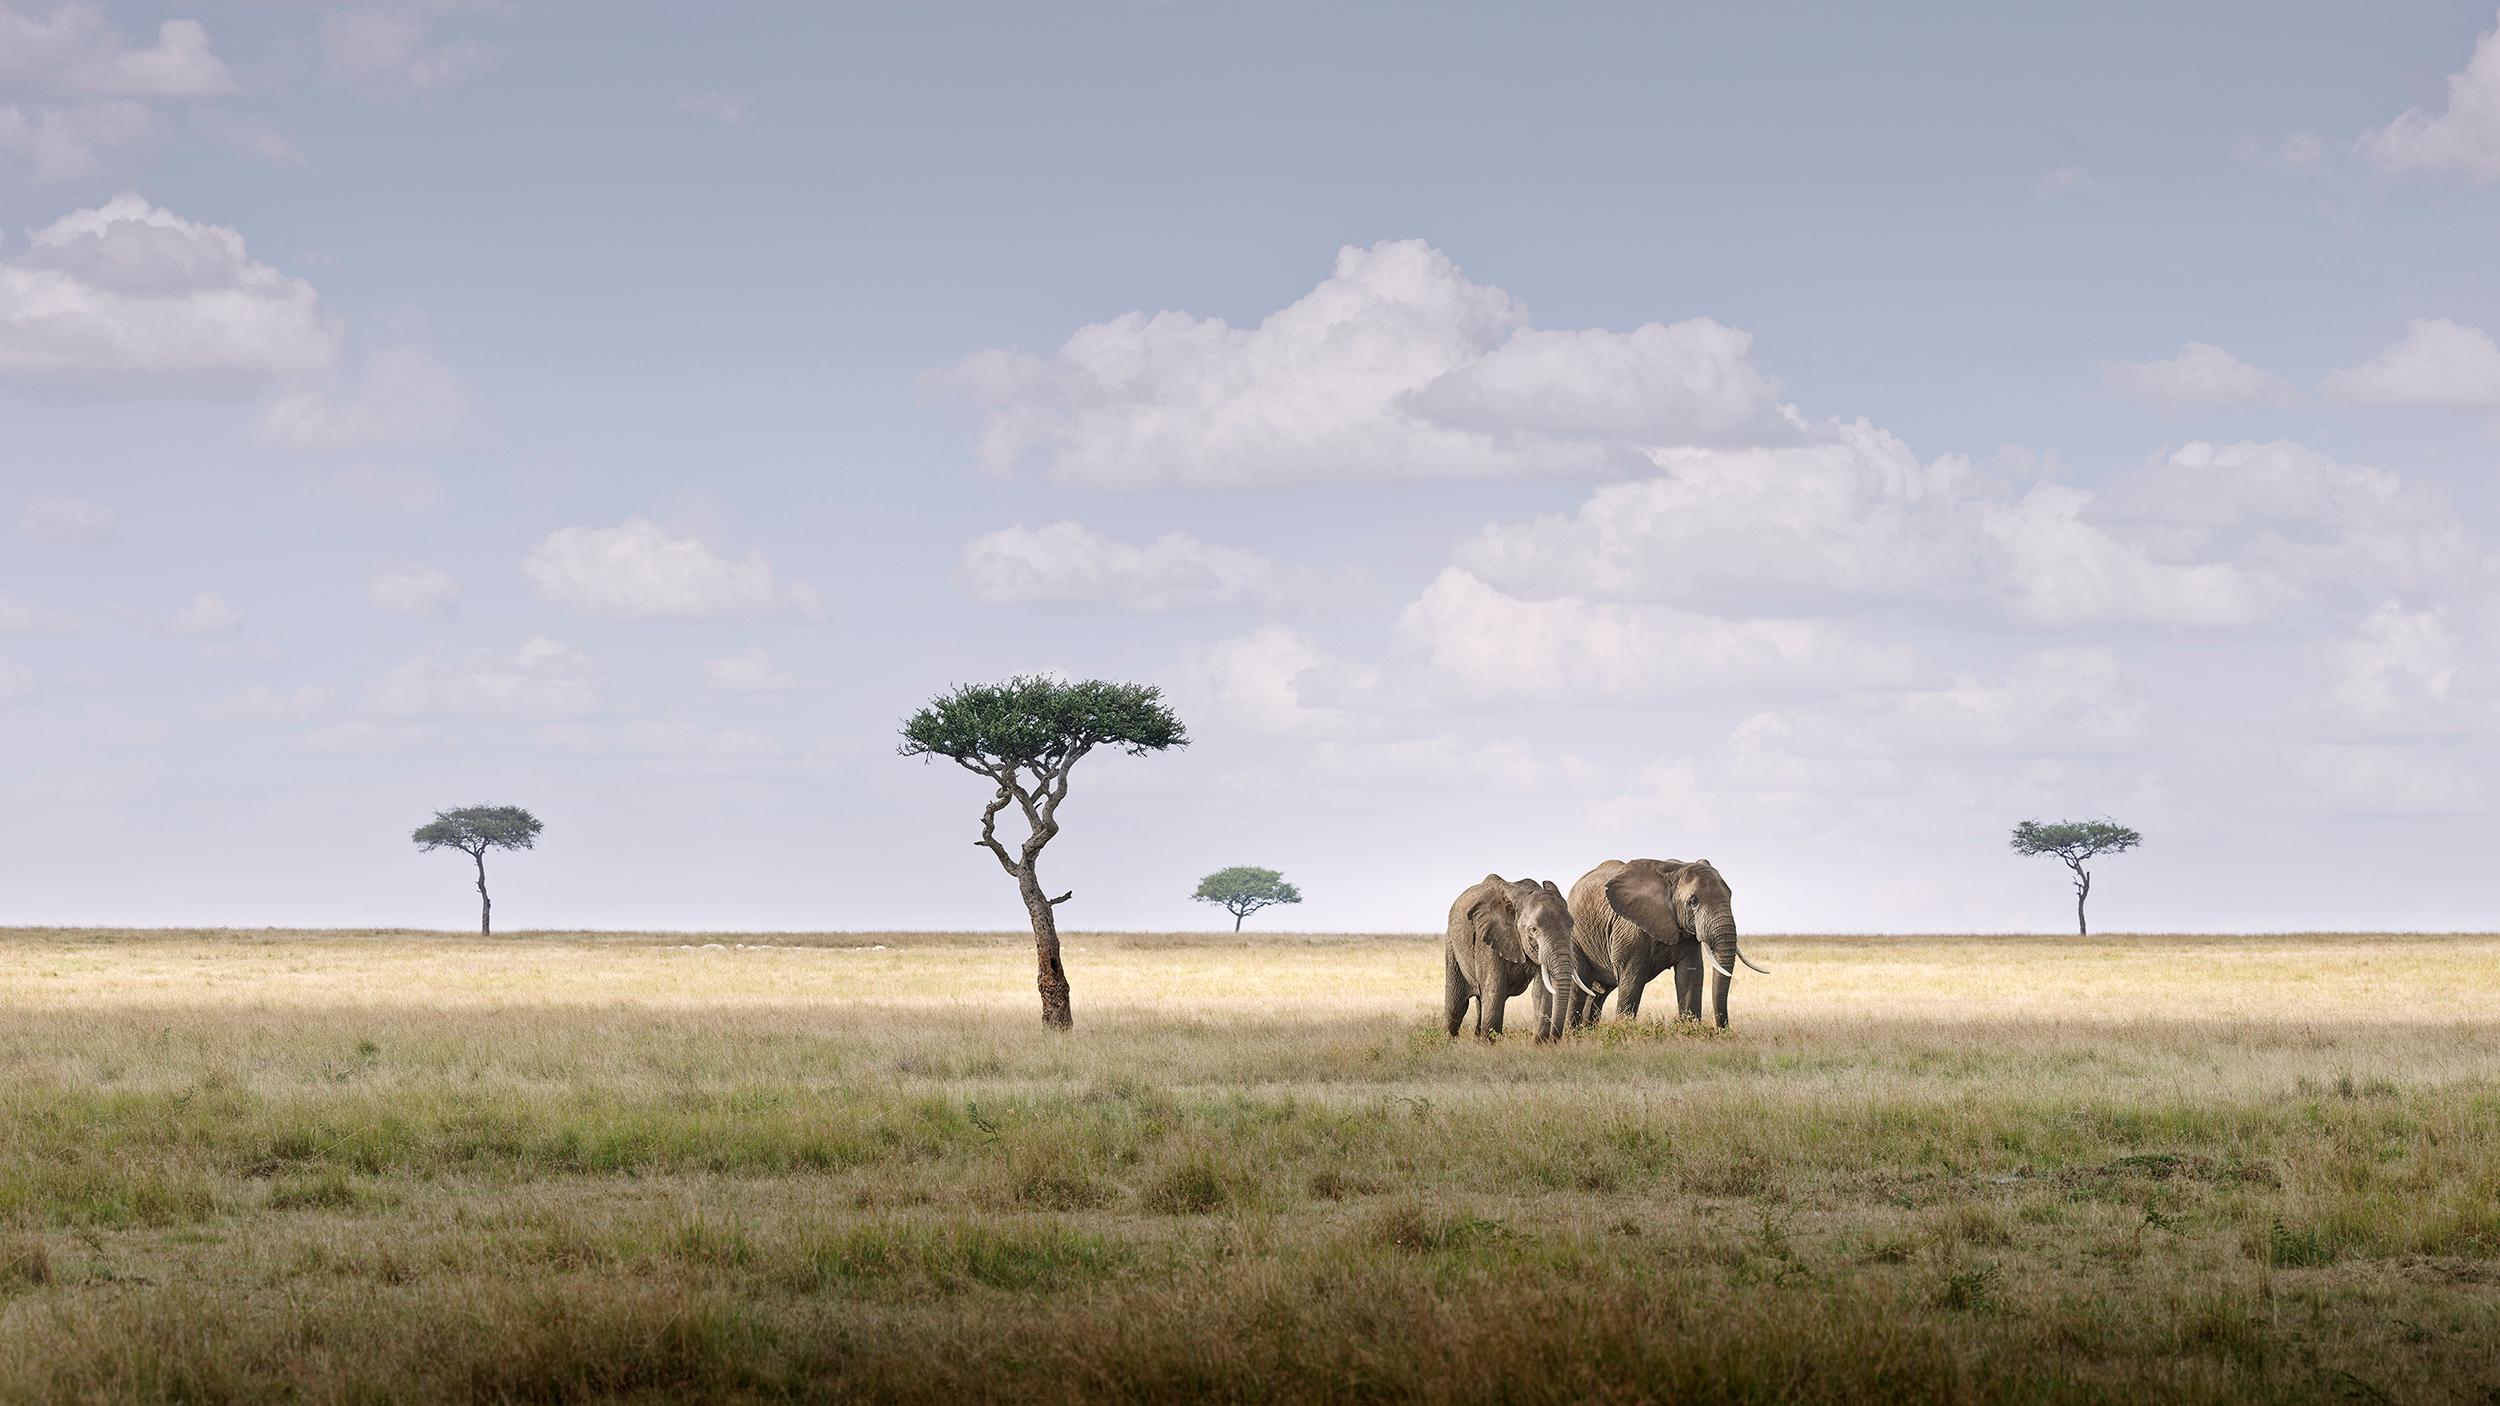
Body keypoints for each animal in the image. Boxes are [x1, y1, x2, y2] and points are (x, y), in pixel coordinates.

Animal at [1450, 870, 1580, 1035]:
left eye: (1571, 927)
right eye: (1533, 930)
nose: (1554, 1038)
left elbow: (1541, 993)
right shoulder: (1487, 937)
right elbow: (1495, 992)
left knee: (1480, 1001)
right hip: (1452, 946)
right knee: (1457, 1006)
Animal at [1560, 850, 1760, 1025]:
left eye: (1730, 897)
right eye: (1693, 901)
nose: (1721, 1028)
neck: (1675, 870)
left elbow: (1690, 975)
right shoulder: (1630, 929)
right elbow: (1632, 979)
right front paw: (1624, 1028)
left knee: (1598, 993)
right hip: (1575, 938)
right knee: (1579, 986)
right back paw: (1572, 1033)